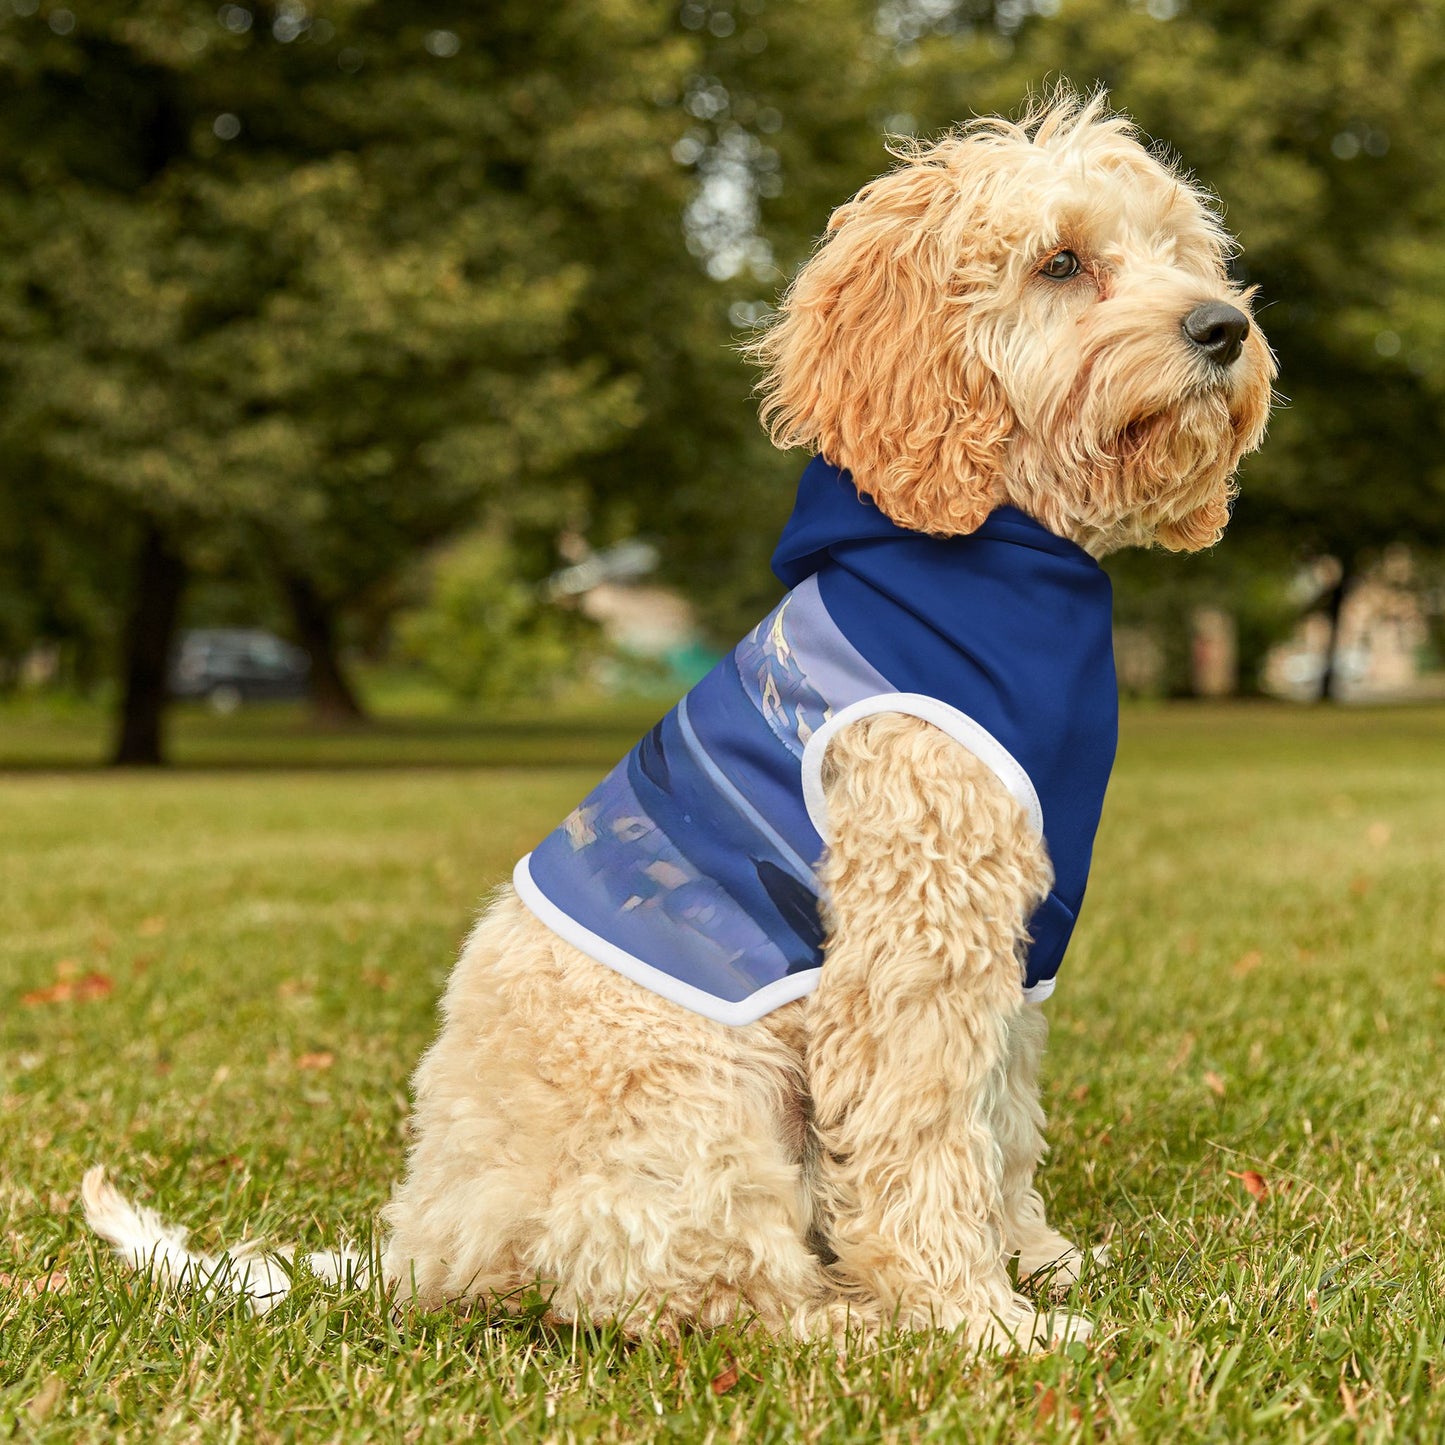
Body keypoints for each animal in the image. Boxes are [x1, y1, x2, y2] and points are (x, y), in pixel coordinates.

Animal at [84, 93, 1271, 1352]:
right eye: (1059, 262)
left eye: (1180, 252)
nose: (1222, 327)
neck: (990, 555)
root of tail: (423, 1246)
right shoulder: (912, 935)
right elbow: (924, 1136)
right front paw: (975, 1317)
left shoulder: (1013, 937)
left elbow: (998, 1119)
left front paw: (1034, 1259)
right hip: (702, 1097)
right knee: (700, 1291)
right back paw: (852, 1322)